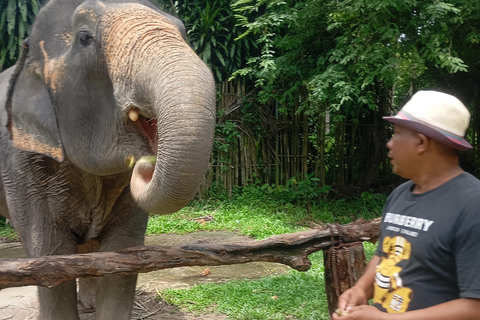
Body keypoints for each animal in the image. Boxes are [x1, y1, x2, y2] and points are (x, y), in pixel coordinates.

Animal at [0, 1, 216, 318]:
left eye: (183, 31)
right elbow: (49, 255)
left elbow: (124, 252)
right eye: (84, 38)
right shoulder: (22, 162)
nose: (146, 164)